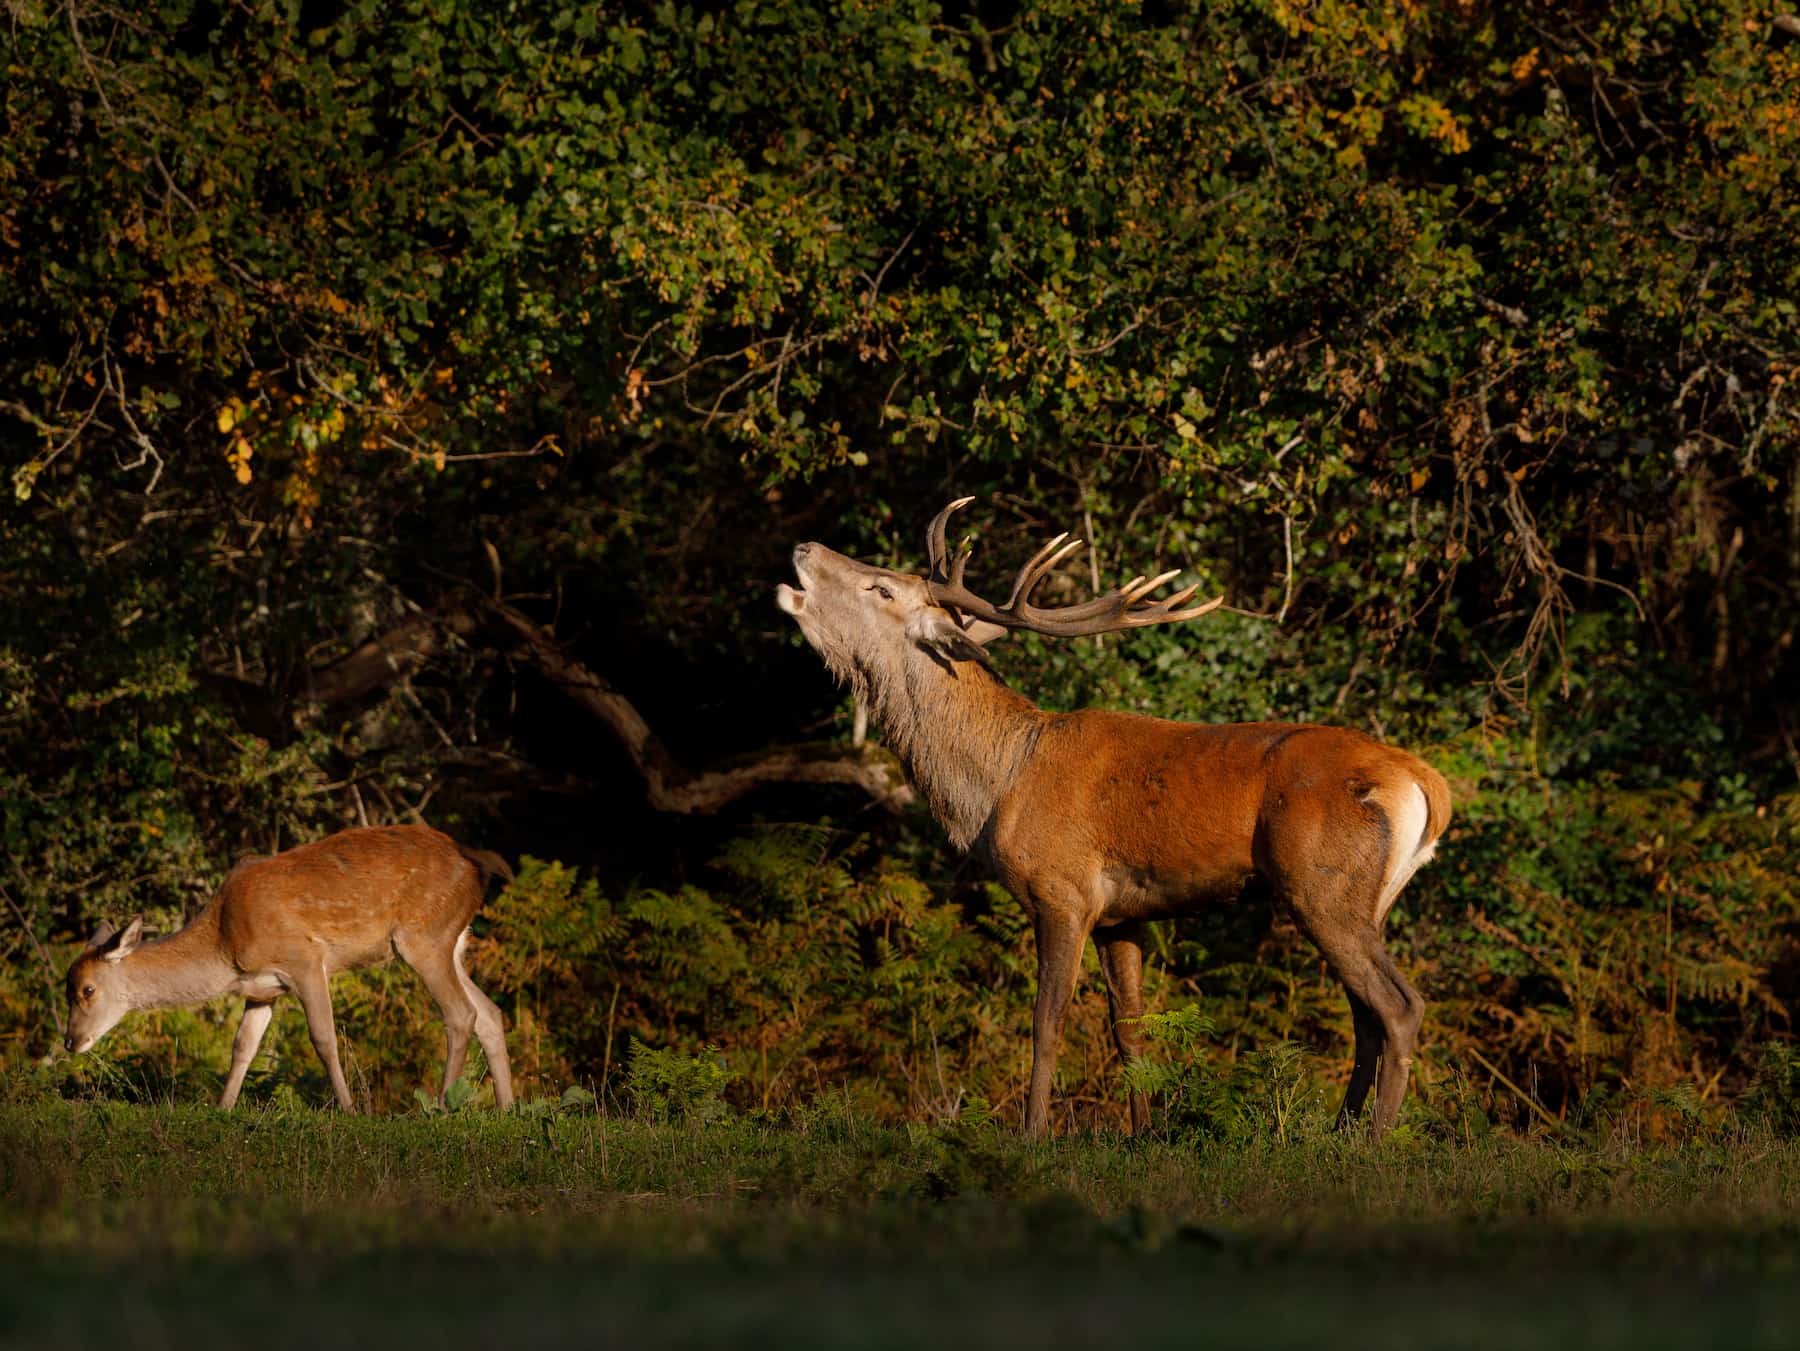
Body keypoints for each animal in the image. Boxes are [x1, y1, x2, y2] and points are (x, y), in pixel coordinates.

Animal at [62, 824, 515, 1112]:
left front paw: (350, 1110)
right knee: (490, 1013)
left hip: (423, 937)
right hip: (453, 942)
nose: (70, 1042)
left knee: (461, 1014)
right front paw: (223, 1108)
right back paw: (507, 1108)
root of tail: (478, 863)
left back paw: (441, 1107)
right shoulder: (263, 989)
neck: (225, 946)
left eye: (87, 989)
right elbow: (243, 1047)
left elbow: (324, 1038)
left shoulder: (304, 958)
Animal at [776, 497, 1451, 1138]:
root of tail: (1426, 785)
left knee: (1399, 1006)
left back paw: (1372, 1140)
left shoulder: (1063, 890)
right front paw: (1142, 1131)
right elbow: (1129, 1027)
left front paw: (1031, 1135)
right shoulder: (1121, 915)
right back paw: (1340, 1130)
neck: (999, 785)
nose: (804, 546)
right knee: (1365, 1015)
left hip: (1320, 884)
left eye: (881, 589)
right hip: (1366, 899)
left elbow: (1047, 1022)